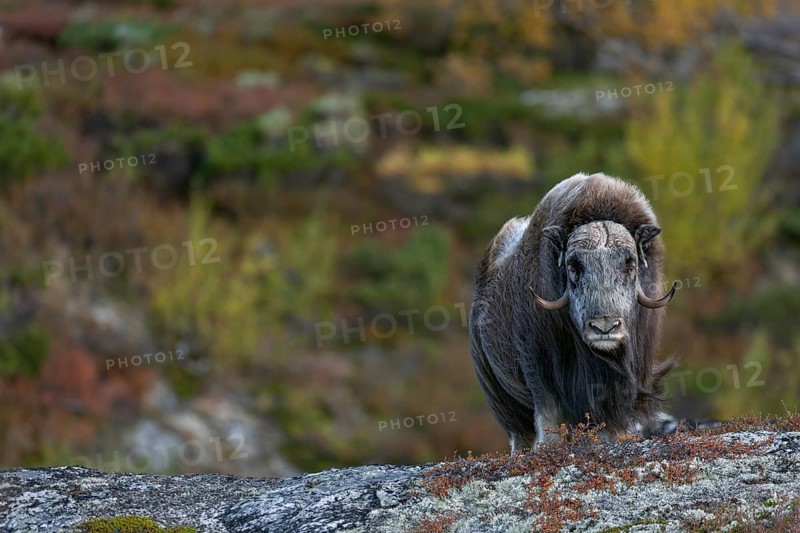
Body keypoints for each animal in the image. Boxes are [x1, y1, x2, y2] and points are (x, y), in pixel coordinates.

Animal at [469, 172, 678, 452]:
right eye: (574, 265)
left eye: (630, 263)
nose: (604, 327)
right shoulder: (539, 367)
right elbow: (550, 417)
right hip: (501, 396)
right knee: (520, 433)